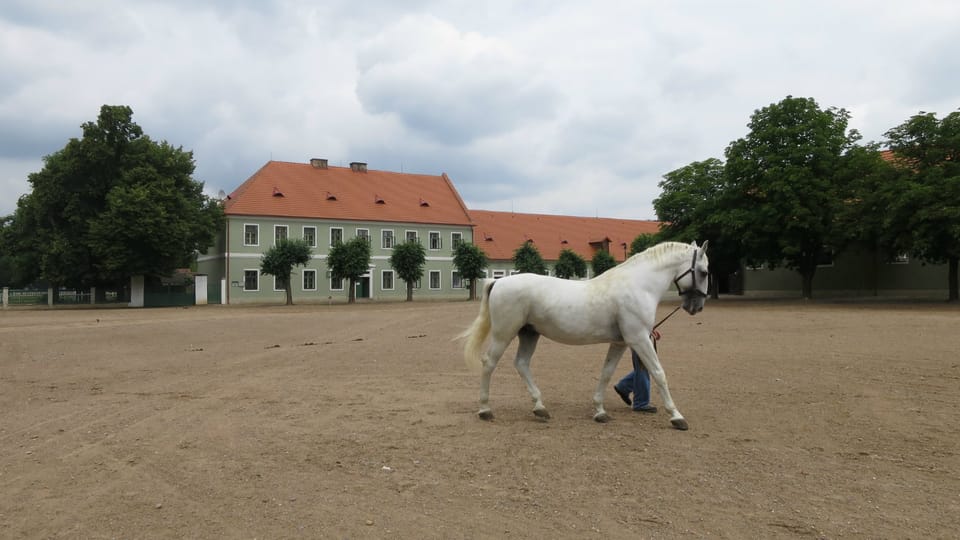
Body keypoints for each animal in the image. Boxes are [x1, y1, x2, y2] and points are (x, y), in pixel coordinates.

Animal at [462, 240, 708, 430]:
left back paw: (540, 407)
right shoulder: (639, 339)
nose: (697, 307)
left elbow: (606, 373)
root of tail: (499, 281)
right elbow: (658, 373)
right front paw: (676, 416)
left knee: (521, 364)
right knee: (489, 363)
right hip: (504, 334)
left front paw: (600, 411)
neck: (639, 285)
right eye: (704, 272)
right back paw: (485, 409)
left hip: (529, 334)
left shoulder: (620, 342)